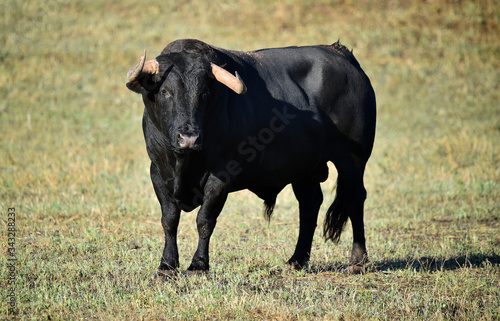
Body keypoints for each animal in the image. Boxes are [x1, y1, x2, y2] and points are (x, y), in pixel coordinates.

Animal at [125, 39, 376, 276]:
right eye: (165, 92)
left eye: (204, 93)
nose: (189, 138)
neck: (183, 162)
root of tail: (341, 54)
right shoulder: (158, 173)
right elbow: (169, 220)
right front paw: (167, 265)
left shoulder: (220, 178)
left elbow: (204, 220)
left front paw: (198, 266)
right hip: (305, 170)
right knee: (309, 205)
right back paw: (296, 260)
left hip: (352, 161)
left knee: (355, 200)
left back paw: (357, 262)